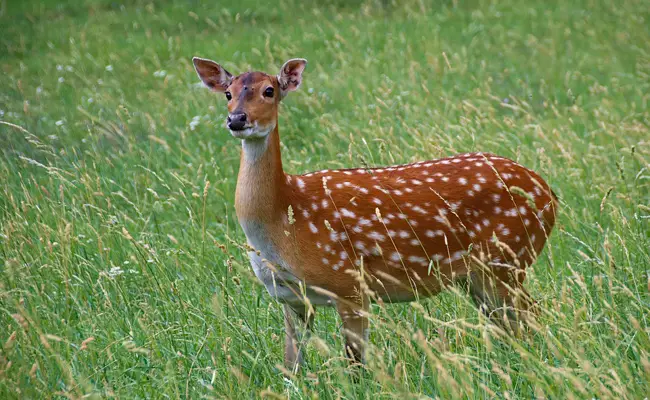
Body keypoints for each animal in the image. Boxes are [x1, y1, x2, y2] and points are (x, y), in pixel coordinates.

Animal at [192, 54, 556, 370]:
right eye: (228, 93)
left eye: (269, 90)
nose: (237, 119)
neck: (284, 217)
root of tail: (549, 193)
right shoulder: (290, 297)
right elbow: (291, 365)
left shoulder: (349, 282)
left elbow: (356, 364)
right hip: (478, 276)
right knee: (512, 324)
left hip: (508, 258)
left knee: (534, 316)